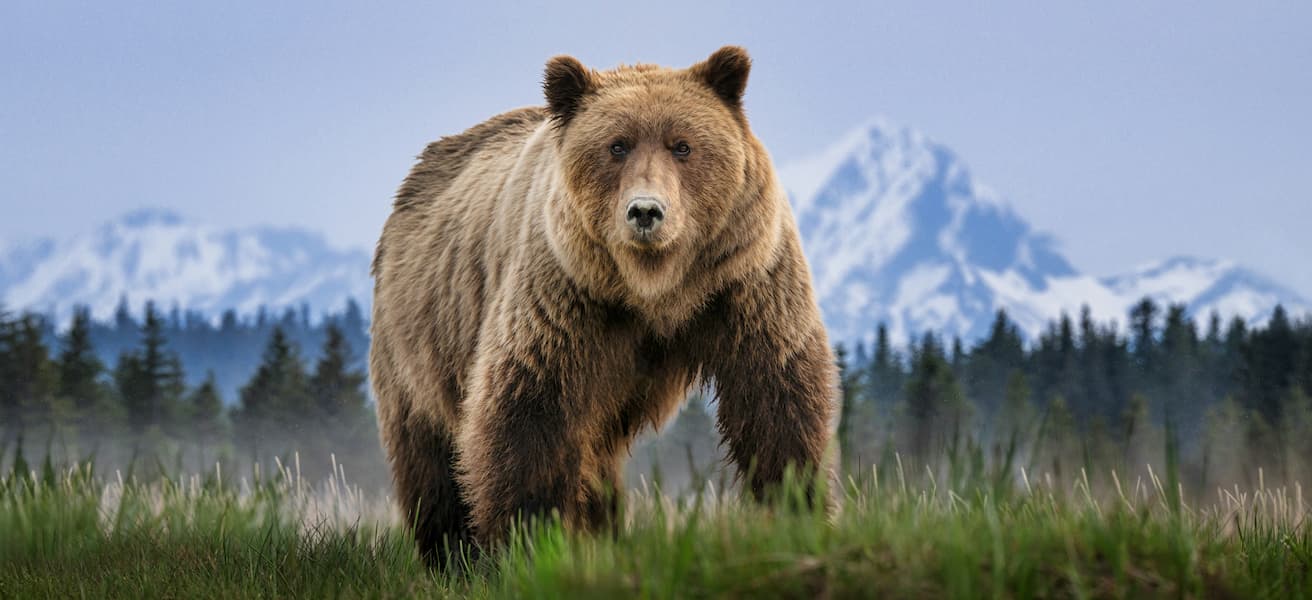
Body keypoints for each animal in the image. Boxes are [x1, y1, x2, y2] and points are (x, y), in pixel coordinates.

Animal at [369, 46, 837, 567]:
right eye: (617, 146)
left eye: (682, 146)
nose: (646, 211)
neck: (654, 287)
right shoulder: (566, 291)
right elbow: (531, 408)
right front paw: (531, 538)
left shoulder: (743, 278)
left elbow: (775, 395)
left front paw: (797, 508)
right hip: (418, 335)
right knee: (429, 451)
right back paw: (450, 552)